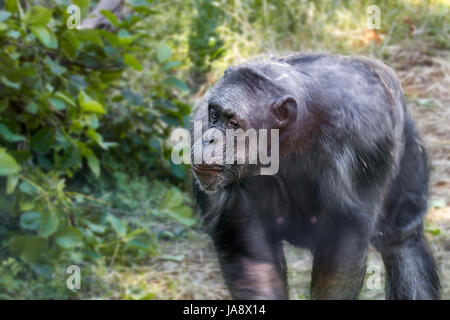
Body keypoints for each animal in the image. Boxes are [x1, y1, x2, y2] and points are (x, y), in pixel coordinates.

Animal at [190, 53, 440, 300]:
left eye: (233, 123)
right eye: (214, 114)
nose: (210, 138)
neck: (294, 131)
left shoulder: (365, 138)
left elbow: (342, 246)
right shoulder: (200, 121)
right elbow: (249, 253)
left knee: (402, 241)